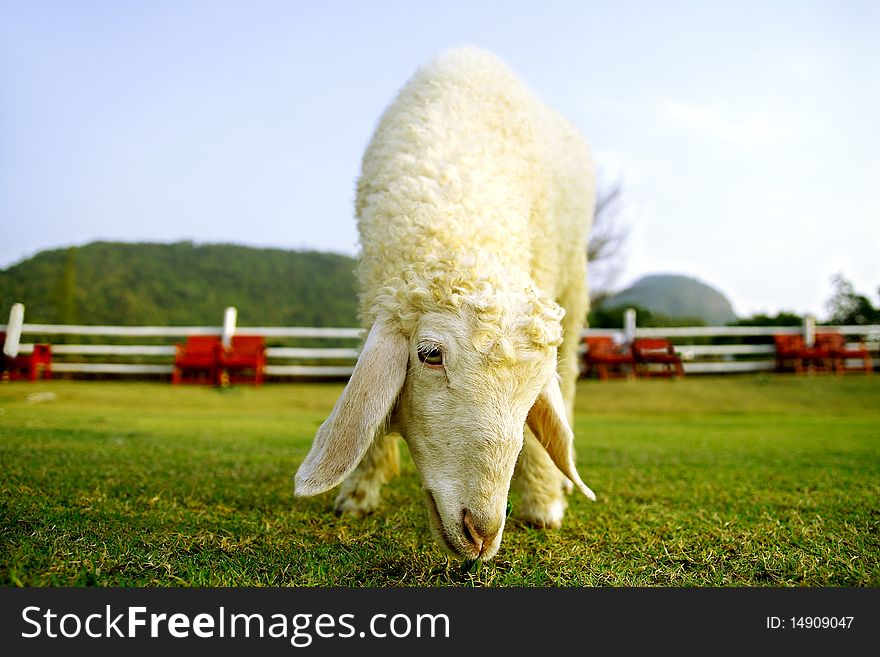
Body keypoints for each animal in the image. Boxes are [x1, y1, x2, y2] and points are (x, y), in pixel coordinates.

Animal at [298, 46, 600, 560]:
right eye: (429, 355)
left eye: (537, 387)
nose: (481, 532)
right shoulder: (374, 291)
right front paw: (359, 491)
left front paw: (542, 503)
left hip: (574, 282)